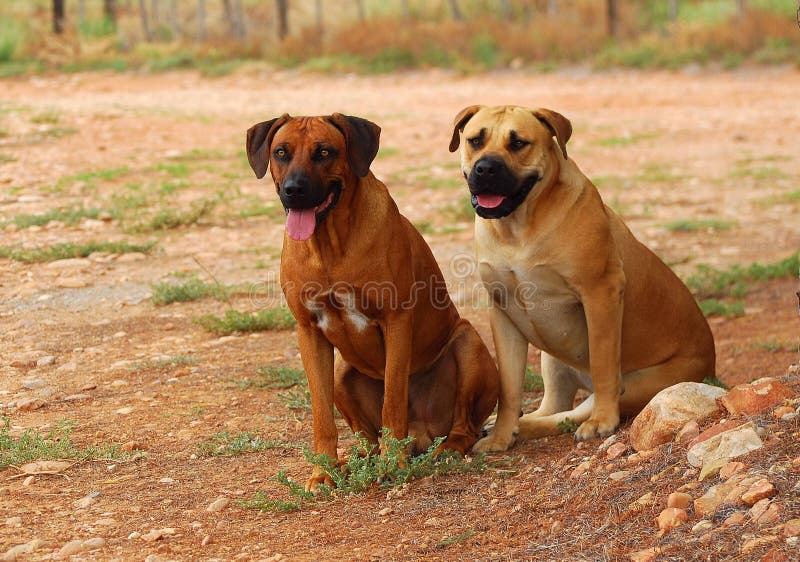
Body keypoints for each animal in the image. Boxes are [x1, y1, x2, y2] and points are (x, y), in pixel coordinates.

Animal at [247, 112, 500, 486]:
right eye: (281, 152)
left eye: (324, 152)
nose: (294, 190)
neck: (329, 243)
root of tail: (423, 433)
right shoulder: (309, 331)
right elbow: (321, 416)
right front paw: (323, 472)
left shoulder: (395, 320)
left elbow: (392, 401)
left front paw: (393, 464)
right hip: (342, 372)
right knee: (367, 436)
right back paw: (358, 459)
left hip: (467, 342)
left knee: (464, 426)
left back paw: (444, 448)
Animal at [446, 105, 716, 450]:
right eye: (475, 140)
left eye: (518, 143)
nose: (486, 168)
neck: (518, 229)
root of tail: (711, 361)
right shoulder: (503, 314)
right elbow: (508, 387)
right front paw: (501, 437)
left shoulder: (600, 294)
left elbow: (603, 365)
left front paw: (603, 420)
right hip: (552, 360)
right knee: (554, 406)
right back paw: (511, 426)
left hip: (643, 384)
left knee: (572, 413)